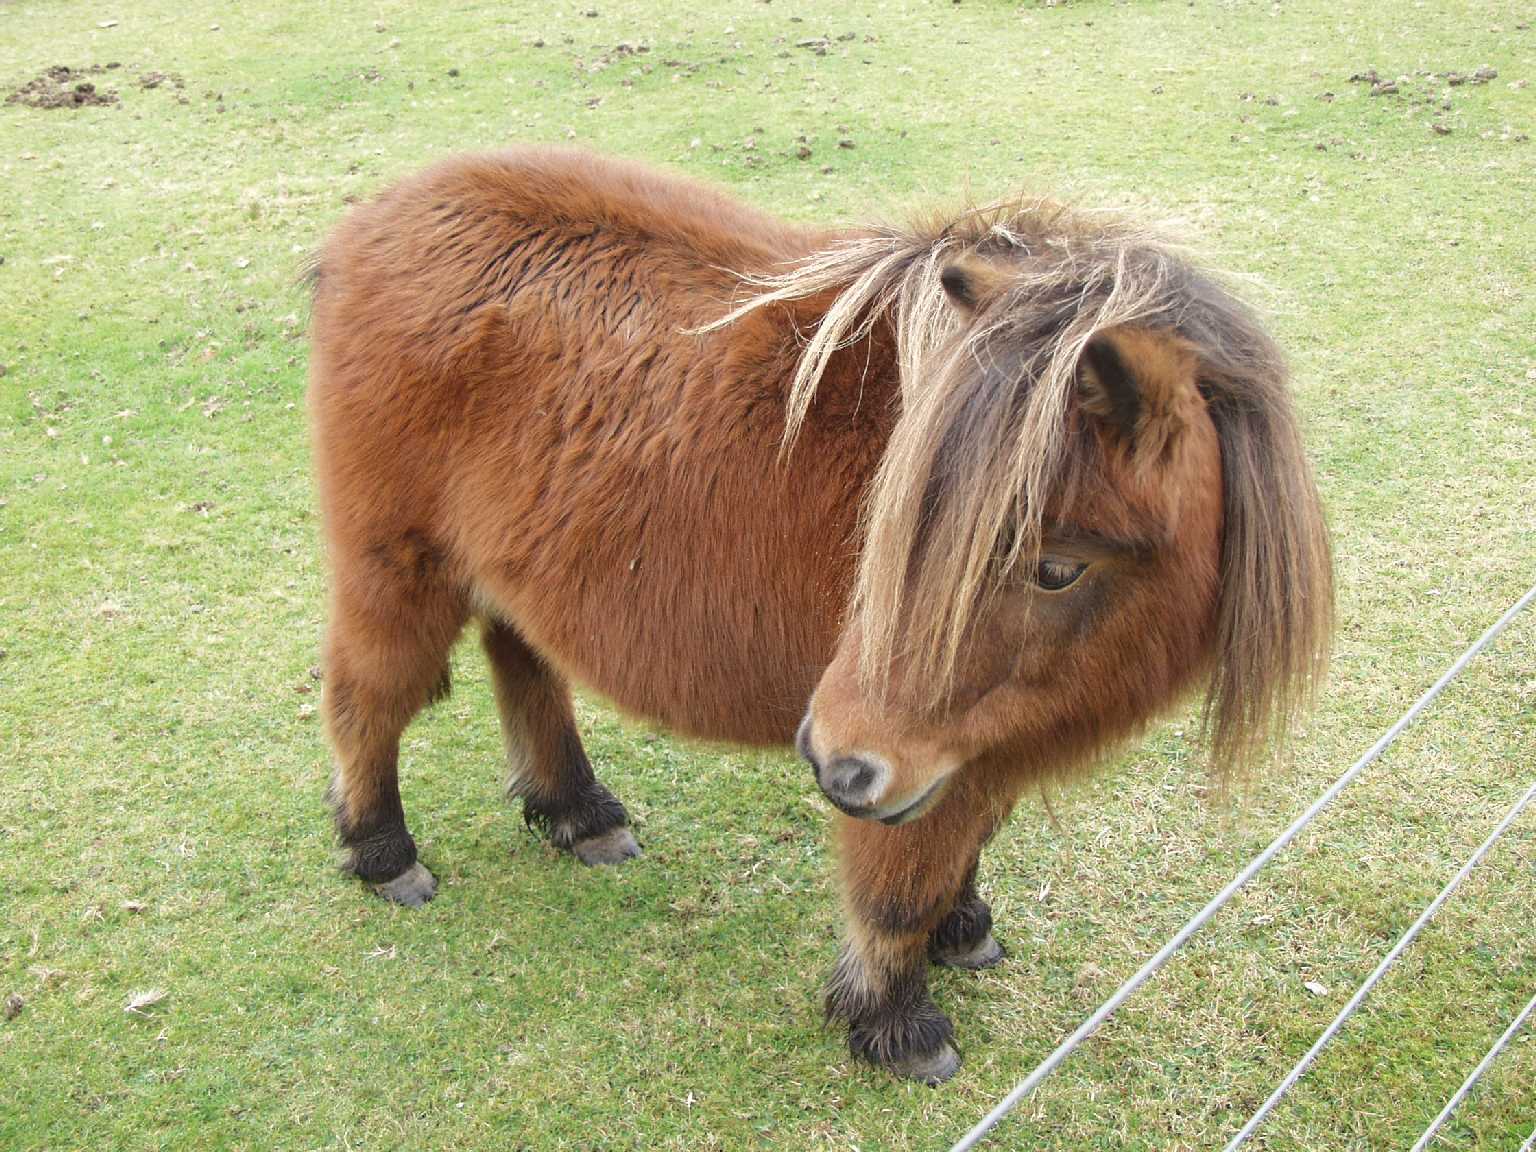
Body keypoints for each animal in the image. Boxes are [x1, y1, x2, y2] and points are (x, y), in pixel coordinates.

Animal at [306, 147, 1332, 1084]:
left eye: (1056, 568)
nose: (829, 757)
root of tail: (372, 224)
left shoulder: (969, 746)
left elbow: (962, 852)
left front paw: (963, 930)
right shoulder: (907, 760)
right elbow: (898, 891)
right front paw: (896, 1023)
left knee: (523, 667)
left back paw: (577, 812)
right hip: (398, 574)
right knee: (368, 700)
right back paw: (384, 852)